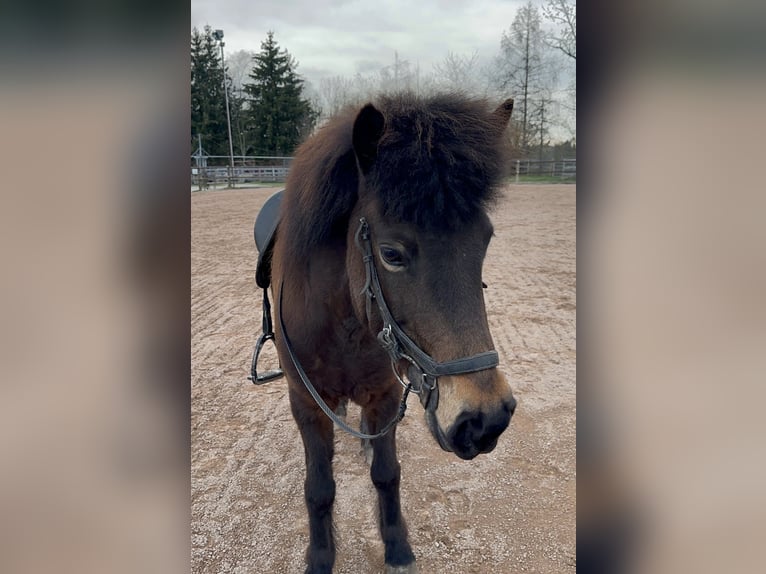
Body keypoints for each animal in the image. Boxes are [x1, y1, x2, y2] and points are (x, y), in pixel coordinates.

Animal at [267, 92, 517, 574]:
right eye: (391, 254)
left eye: (486, 241)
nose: (485, 419)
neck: (343, 324)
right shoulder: (305, 402)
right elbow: (319, 489)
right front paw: (320, 557)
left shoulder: (383, 396)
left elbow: (387, 474)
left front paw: (397, 548)